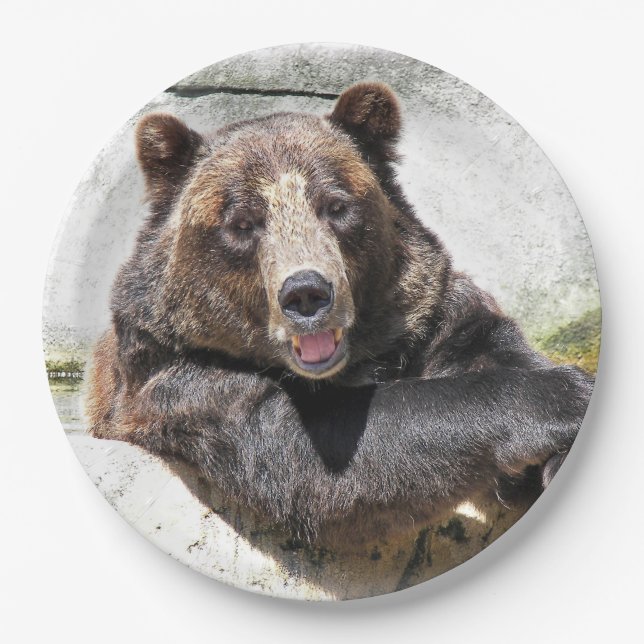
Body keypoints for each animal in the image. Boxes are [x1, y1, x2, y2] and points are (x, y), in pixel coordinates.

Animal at [87, 82, 593, 543]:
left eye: (335, 204)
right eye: (242, 222)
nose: (306, 294)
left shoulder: (432, 316)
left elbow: (491, 347)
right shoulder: (183, 381)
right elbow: (313, 452)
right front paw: (567, 394)